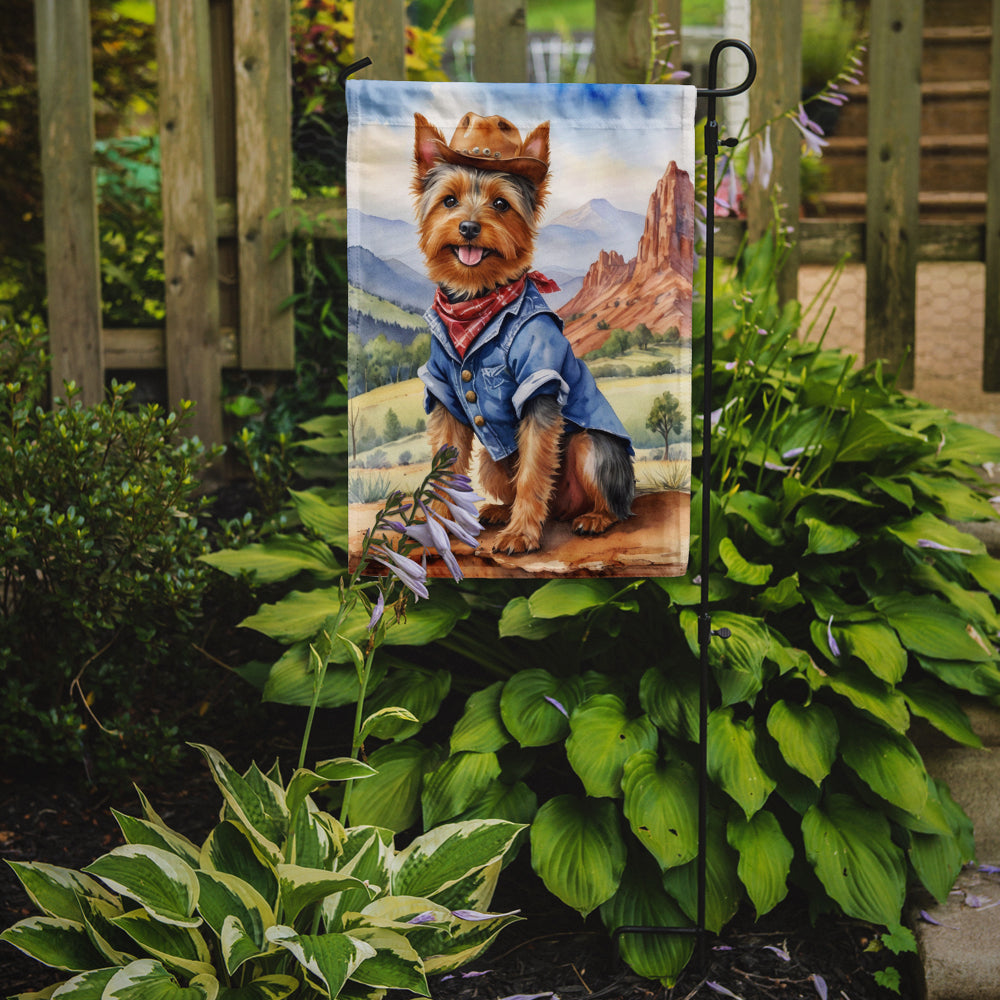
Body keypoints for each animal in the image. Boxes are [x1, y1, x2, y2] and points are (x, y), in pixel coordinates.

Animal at [408, 115, 628, 564]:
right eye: (449, 201)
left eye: (501, 204)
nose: (469, 227)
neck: (478, 302)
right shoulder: (444, 392)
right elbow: (445, 467)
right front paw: (437, 530)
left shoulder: (539, 386)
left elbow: (533, 470)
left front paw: (522, 535)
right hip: (492, 464)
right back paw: (498, 511)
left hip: (591, 448)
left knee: (608, 498)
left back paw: (594, 517)